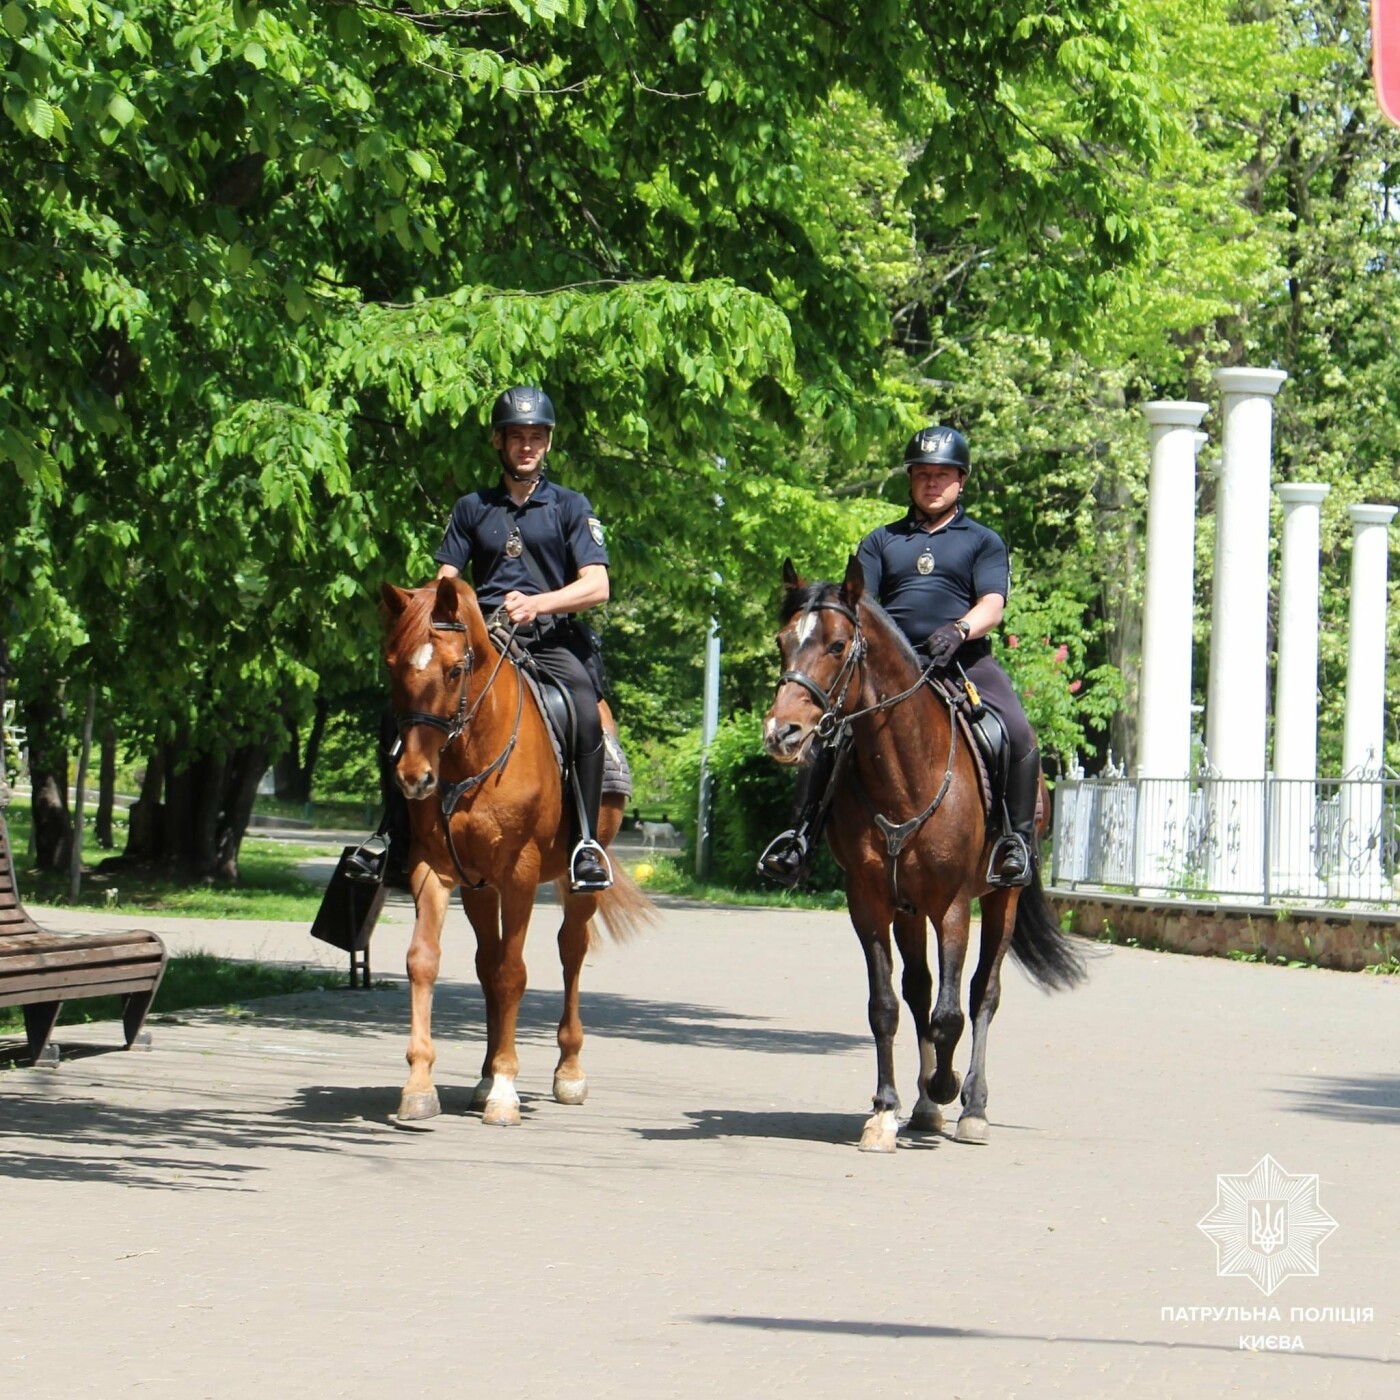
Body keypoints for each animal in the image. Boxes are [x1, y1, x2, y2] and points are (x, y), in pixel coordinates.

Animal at [378, 576, 649, 1125]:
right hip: (479, 889)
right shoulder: (435, 869)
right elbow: (425, 960)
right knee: (486, 961)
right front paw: (420, 1084)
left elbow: (512, 974)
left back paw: (567, 1072)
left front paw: (505, 1088)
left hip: (575, 883)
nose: (414, 778)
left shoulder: (520, 875)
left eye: (454, 668)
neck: (470, 759)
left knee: (570, 952)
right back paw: (482, 1078)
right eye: (393, 664)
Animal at [767, 554, 1080, 1148]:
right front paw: (886, 1109)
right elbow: (886, 1006)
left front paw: (947, 1085)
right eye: (782, 642)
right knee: (917, 990)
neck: (904, 769)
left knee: (983, 993)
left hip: (999, 900)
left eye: (837, 645)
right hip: (907, 909)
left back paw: (970, 1104)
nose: (782, 733)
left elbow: (952, 1012)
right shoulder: (869, 903)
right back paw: (924, 1105)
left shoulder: (952, 905)